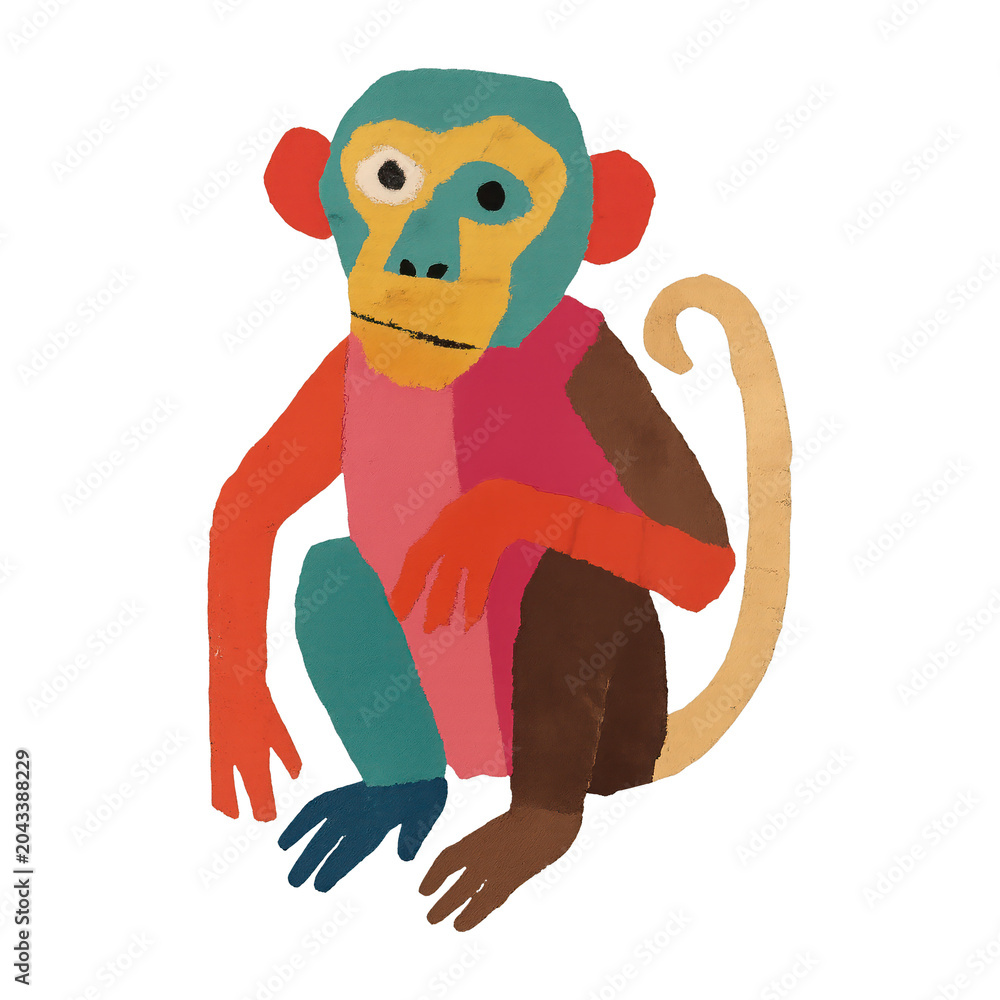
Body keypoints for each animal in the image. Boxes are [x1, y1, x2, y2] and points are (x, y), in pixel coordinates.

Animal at [207, 68, 791, 931]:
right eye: (389, 176)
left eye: (493, 196)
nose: (421, 263)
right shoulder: (346, 359)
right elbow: (250, 499)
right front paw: (242, 717)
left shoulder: (599, 366)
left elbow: (700, 556)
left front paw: (483, 517)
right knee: (331, 566)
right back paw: (400, 792)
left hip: (619, 731)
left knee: (577, 581)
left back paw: (534, 825)